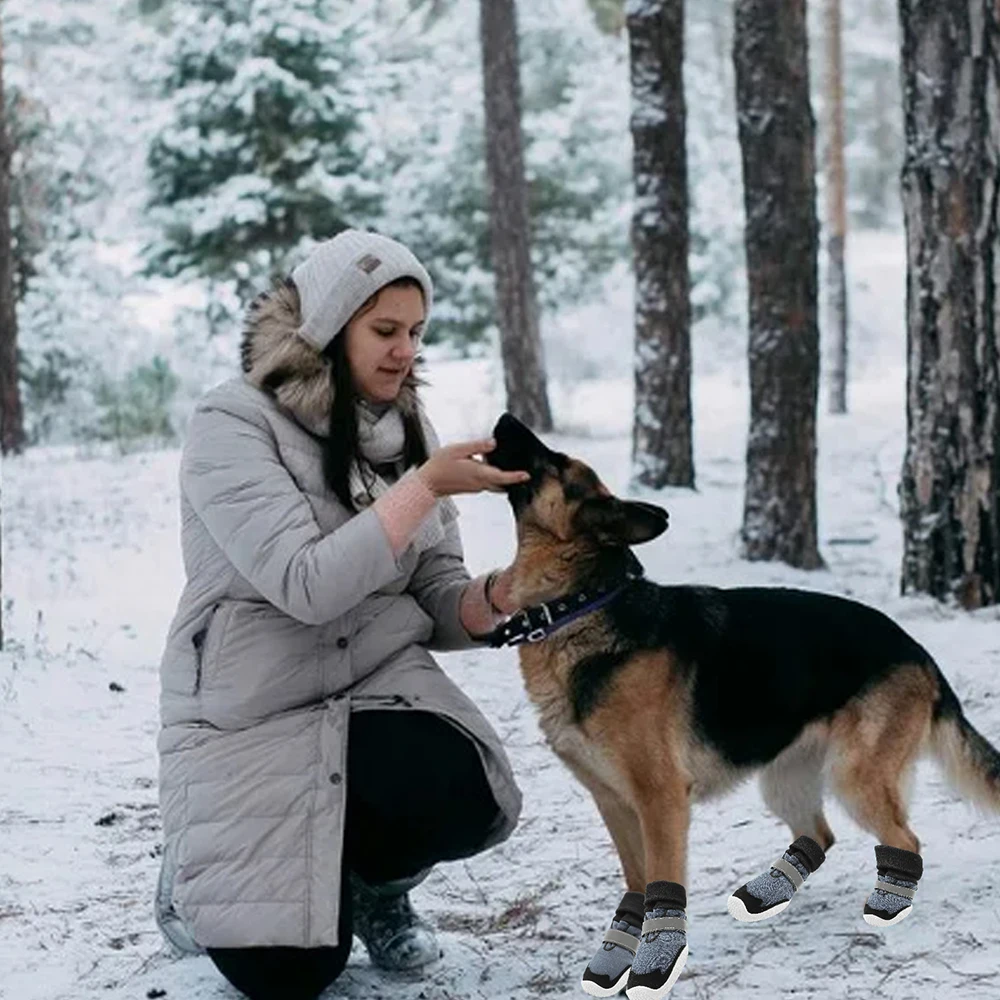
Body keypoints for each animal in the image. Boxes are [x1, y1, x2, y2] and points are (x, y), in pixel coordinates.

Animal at [484, 412, 1000, 992]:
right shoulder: (614, 802)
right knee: (819, 833)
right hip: (783, 779)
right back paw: (767, 891)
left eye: (552, 461)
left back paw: (888, 906)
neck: (582, 605)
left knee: (905, 840)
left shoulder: (660, 801)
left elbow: (661, 883)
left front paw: (655, 963)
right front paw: (619, 954)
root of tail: (921, 651)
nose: (505, 418)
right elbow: (636, 882)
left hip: (855, 777)